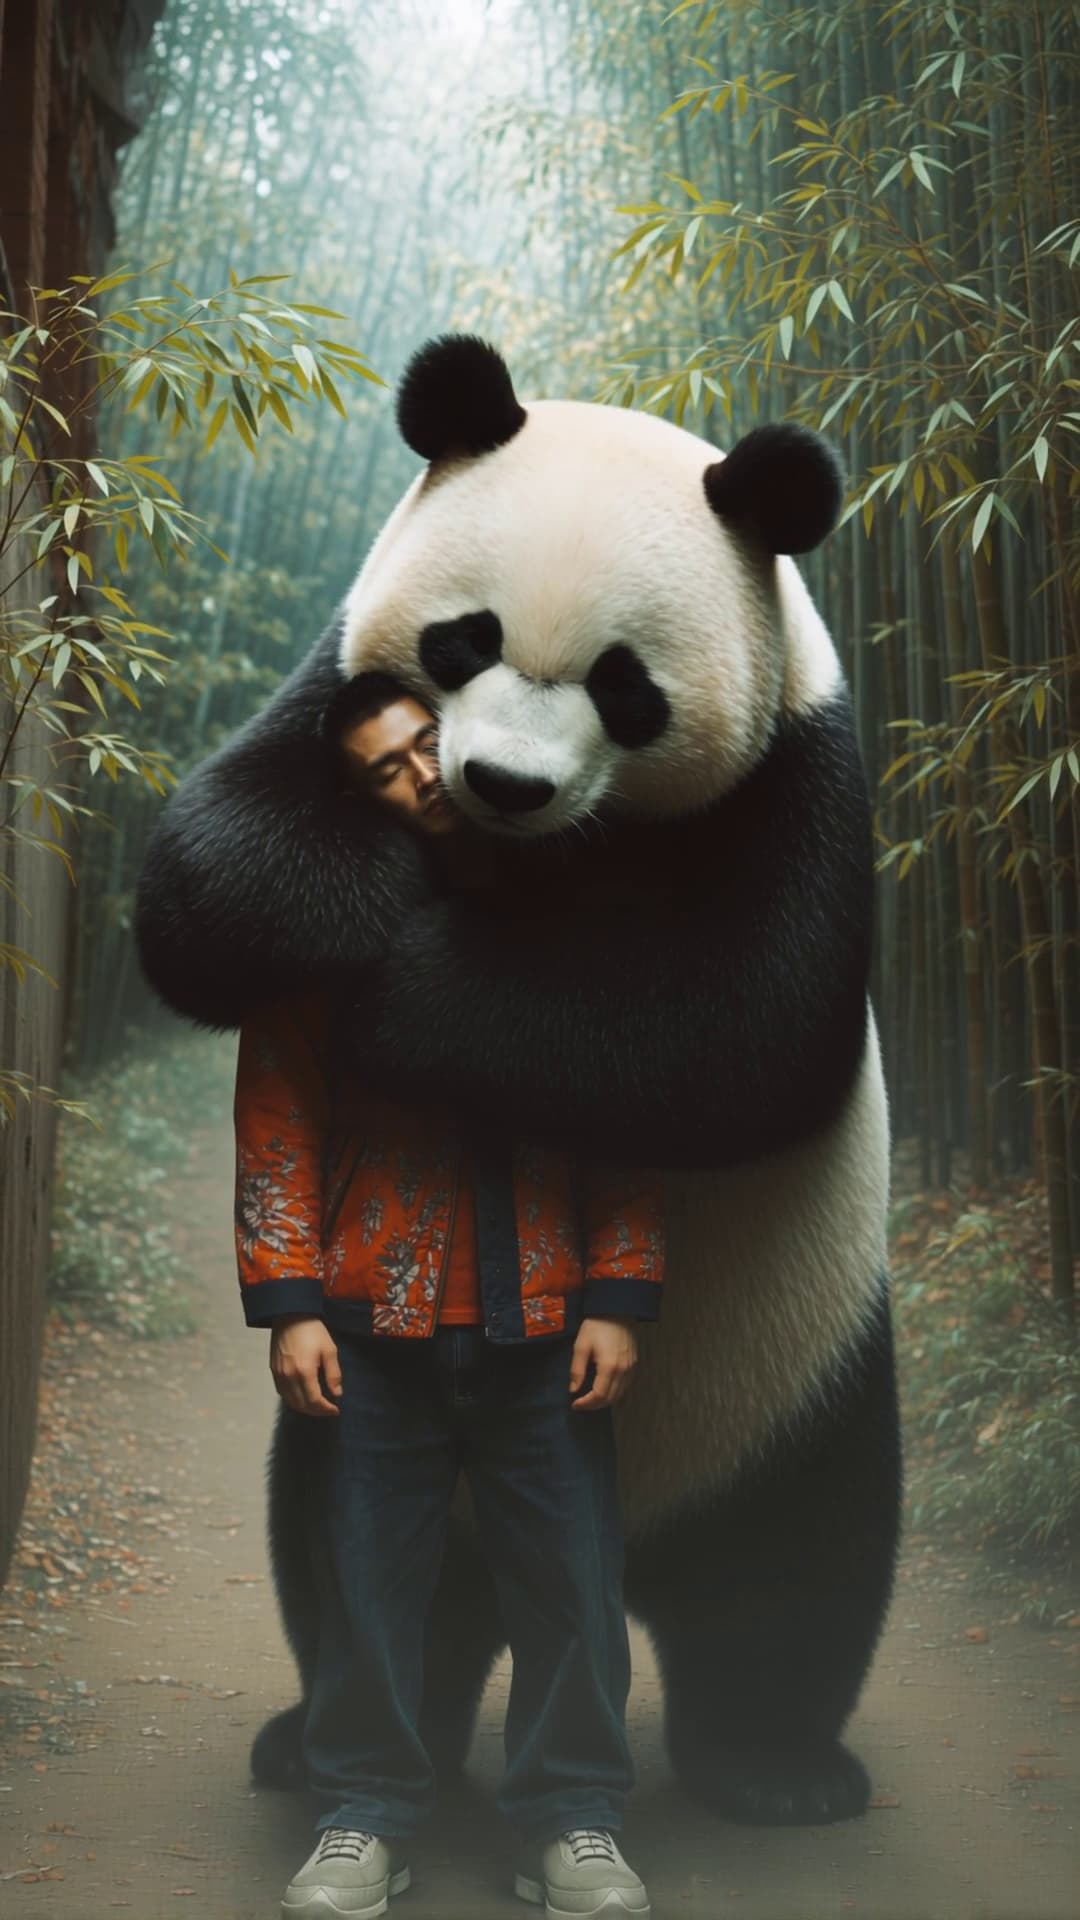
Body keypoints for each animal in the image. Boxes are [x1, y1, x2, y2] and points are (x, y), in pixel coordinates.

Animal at [135, 333, 900, 1828]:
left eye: (625, 685)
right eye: (464, 640)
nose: (501, 781)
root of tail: (628, 1553)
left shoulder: (799, 778)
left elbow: (739, 1031)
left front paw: (411, 994)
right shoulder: (331, 674)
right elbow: (205, 867)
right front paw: (347, 904)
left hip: (803, 1371)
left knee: (800, 1570)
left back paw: (776, 1770)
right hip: (372, 1446)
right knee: (364, 1571)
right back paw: (352, 1746)